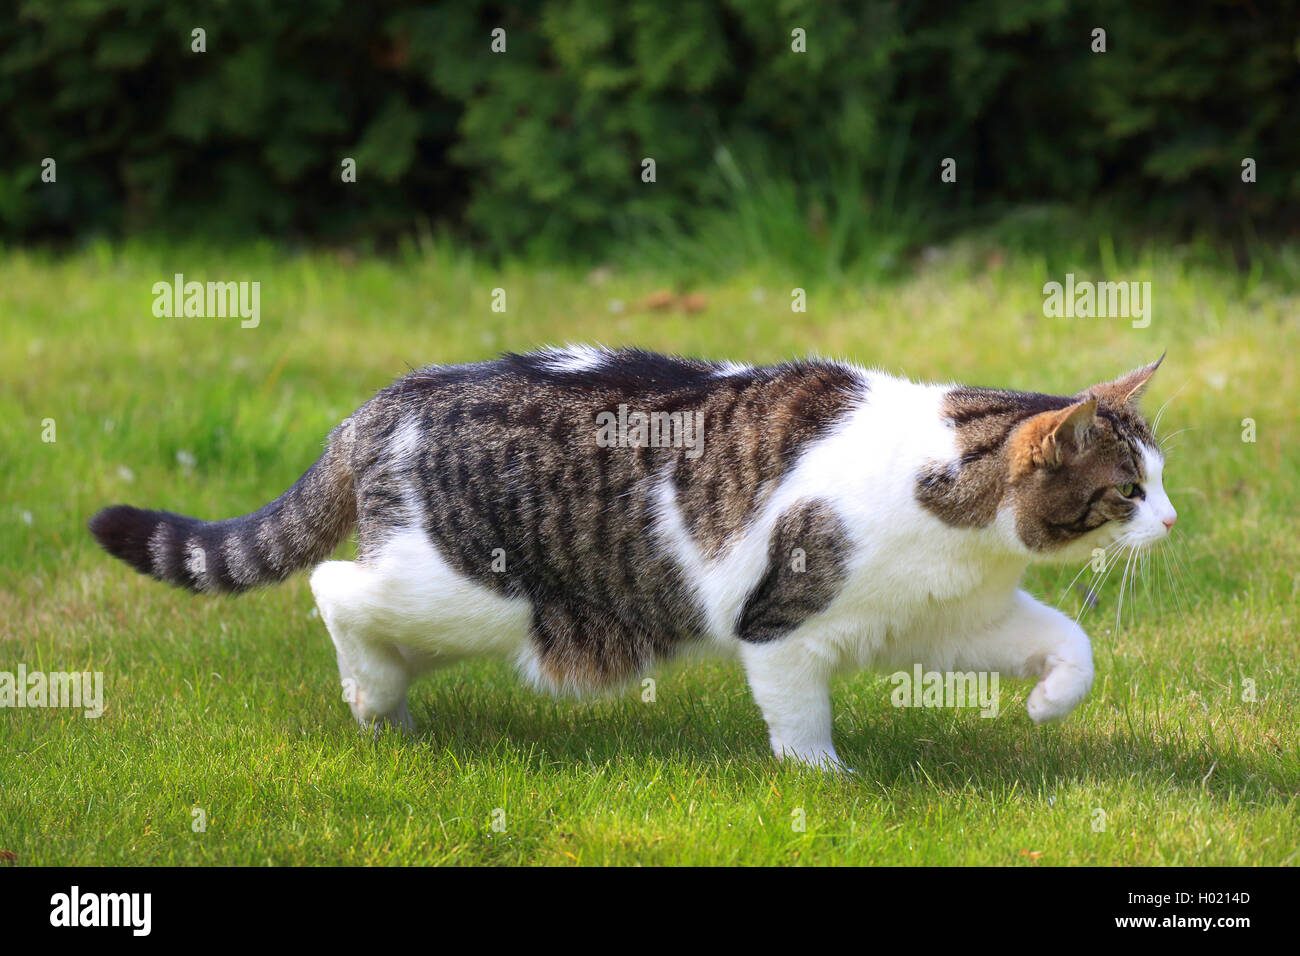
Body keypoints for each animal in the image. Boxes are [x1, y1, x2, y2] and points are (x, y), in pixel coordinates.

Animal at [86, 348, 1175, 775]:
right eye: (1128, 489)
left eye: (1160, 477)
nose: (1171, 522)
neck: (954, 504)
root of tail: (381, 404)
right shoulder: (782, 623)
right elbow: (799, 719)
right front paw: (826, 781)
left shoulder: (952, 618)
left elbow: (1068, 641)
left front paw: (1047, 704)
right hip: (470, 594)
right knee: (332, 587)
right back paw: (369, 697)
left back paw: (387, 711)